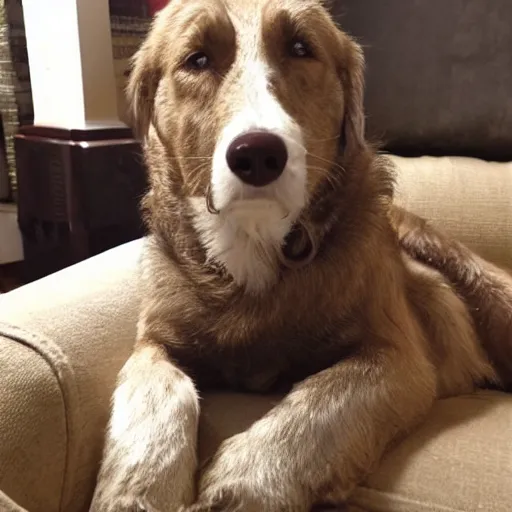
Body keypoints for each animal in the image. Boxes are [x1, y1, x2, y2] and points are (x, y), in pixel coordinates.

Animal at [90, 1, 510, 512]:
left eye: (300, 49)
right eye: (197, 59)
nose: (256, 155)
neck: (255, 240)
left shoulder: (397, 358)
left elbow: (319, 403)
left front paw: (244, 482)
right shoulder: (152, 342)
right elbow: (156, 400)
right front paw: (138, 492)